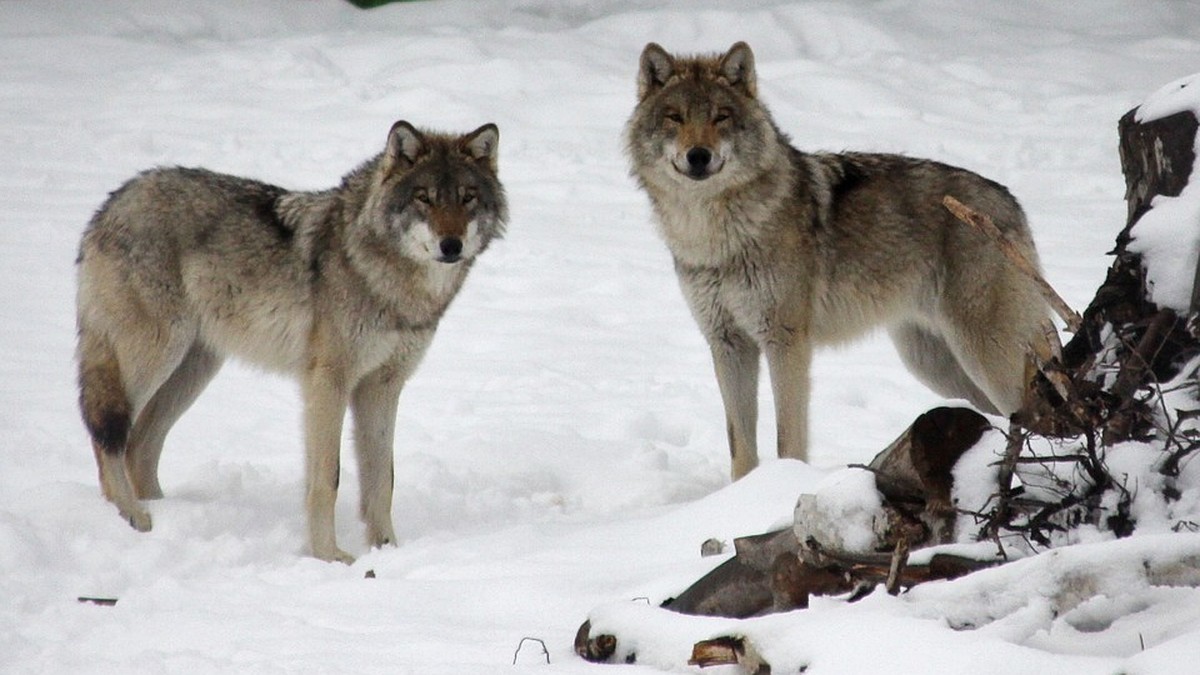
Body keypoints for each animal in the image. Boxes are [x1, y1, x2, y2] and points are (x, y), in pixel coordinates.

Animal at [75, 120, 506, 562]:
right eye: (424, 198)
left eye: (468, 198)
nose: (451, 245)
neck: (387, 280)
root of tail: (111, 203)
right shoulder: (328, 383)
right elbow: (328, 479)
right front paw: (330, 556)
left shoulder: (383, 386)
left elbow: (382, 479)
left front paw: (387, 550)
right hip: (156, 355)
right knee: (107, 434)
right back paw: (132, 515)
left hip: (193, 370)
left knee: (140, 444)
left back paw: (164, 513)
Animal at [628, 40, 1051, 478]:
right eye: (675, 117)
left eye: (721, 117)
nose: (699, 155)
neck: (714, 237)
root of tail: (1011, 202)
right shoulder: (727, 342)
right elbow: (740, 446)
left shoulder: (785, 340)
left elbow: (788, 437)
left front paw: (785, 482)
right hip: (937, 366)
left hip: (985, 359)